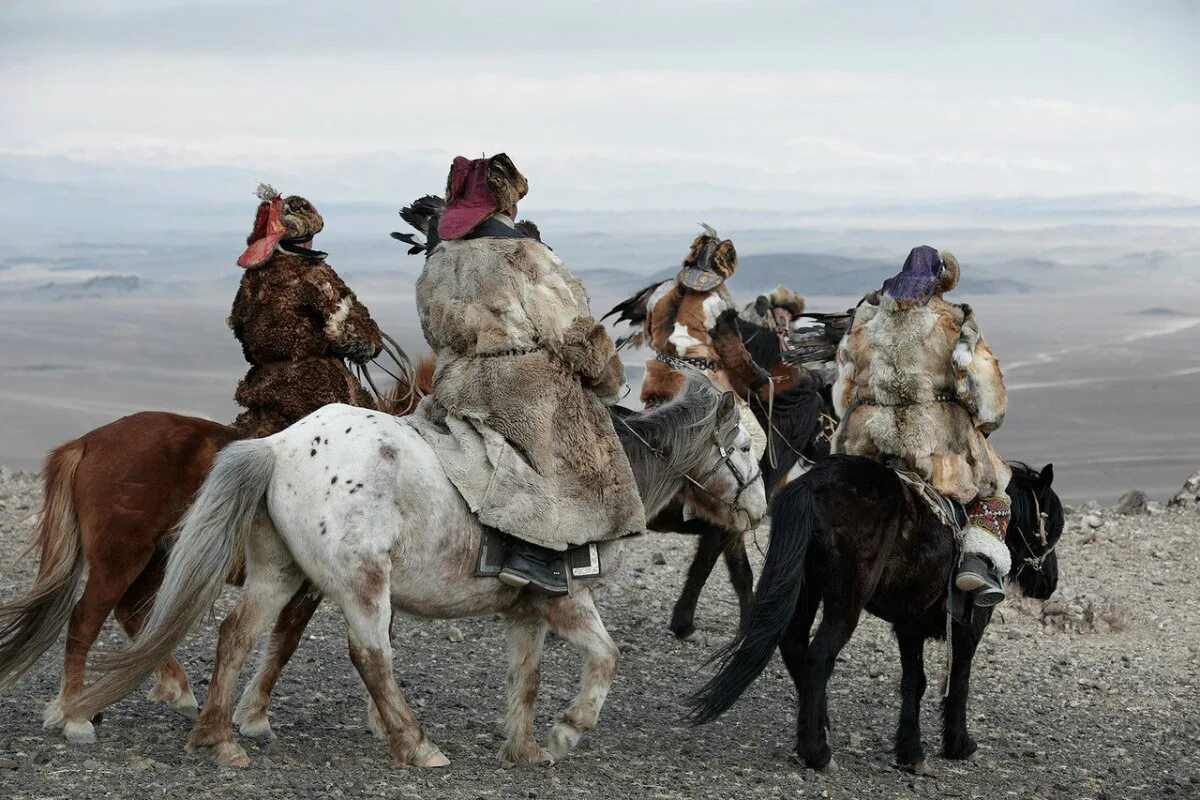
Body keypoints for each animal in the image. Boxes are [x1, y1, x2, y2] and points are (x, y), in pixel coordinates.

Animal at [0, 362, 432, 743]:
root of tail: (86, 443)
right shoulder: (316, 585)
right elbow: (289, 644)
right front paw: (255, 718)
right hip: (120, 560)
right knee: (85, 622)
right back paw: (75, 716)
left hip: (158, 560)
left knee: (135, 614)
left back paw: (174, 692)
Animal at [691, 460, 1065, 772]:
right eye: (1049, 521)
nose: (1050, 583)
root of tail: (811, 485)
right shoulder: (968, 628)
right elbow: (958, 682)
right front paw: (959, 745)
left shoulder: (909, 627)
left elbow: (915, 683)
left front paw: (910, 752)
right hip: (845, 602)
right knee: (818, 656)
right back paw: (817, 752)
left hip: (805, 588)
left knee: (794, 645)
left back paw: (816, 730)